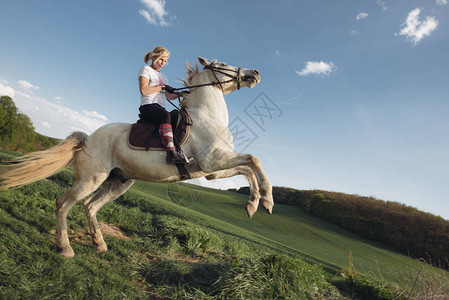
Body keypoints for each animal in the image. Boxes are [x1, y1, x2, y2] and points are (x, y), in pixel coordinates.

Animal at [0, 56, 272, 258]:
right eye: (223, 63)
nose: (256, 72)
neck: (205, 117)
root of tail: (88, 139)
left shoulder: (213, 170)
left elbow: (248, 167)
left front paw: (254, 204)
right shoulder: (213, 161)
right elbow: (253, 160)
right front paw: (266, 200)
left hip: (118, 182)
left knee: (90, 206)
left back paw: (99, 244)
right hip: (90, 179)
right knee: (63, 203)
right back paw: (65, 247)